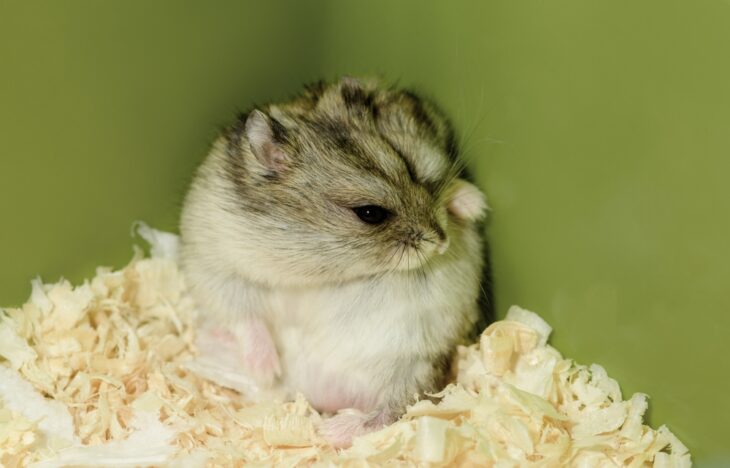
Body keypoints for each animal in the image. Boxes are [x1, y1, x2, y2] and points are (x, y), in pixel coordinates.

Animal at [180, 77, 492, 447]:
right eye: (370, 213)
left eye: (415, 171)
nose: (441, 242)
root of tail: (314, 390)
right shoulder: (214, 261)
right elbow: (244, 316)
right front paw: (266, 368)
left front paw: (475, 206)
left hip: (416, 363)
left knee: (393, 411)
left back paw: (329, 431)